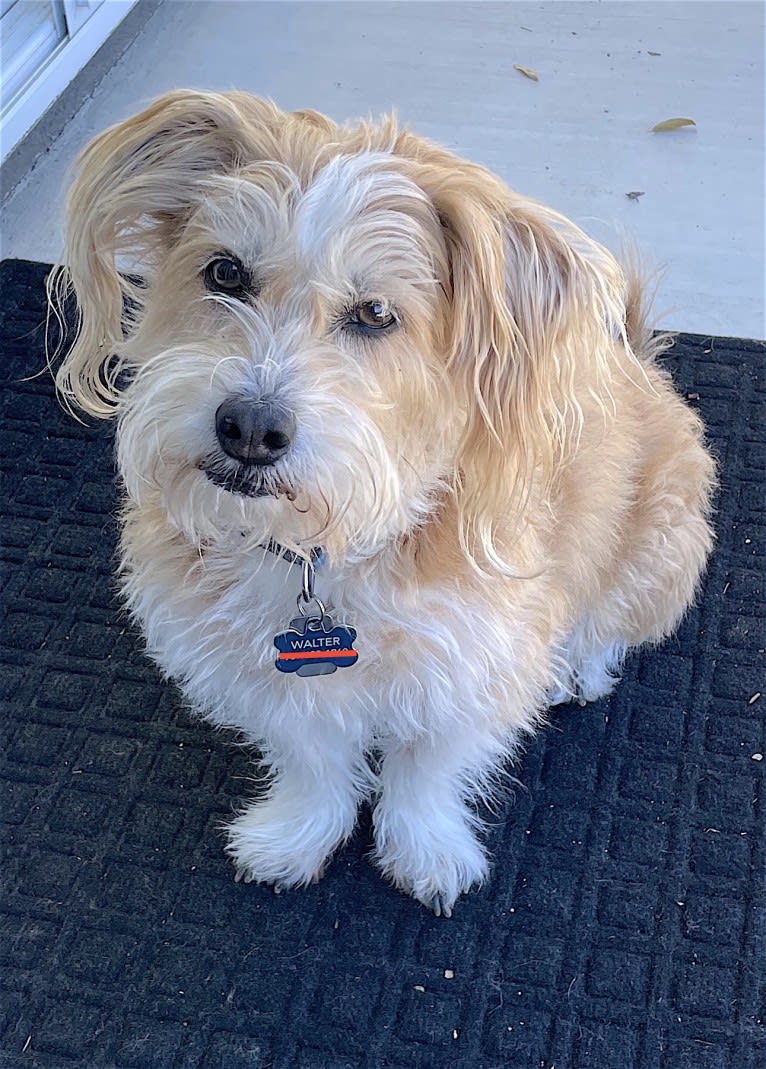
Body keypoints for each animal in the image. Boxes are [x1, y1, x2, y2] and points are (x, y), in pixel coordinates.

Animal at [52, 87, 717, 915]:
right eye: (225, 272)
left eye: (374, 315)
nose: (249, 428)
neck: (320, 549)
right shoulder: (268, 675)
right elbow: (310, 759)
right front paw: (297, 834)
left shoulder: (477, 662)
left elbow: (426, 770)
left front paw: (426, 851)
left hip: (660, 546)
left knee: (610, 618)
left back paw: (580, 665)